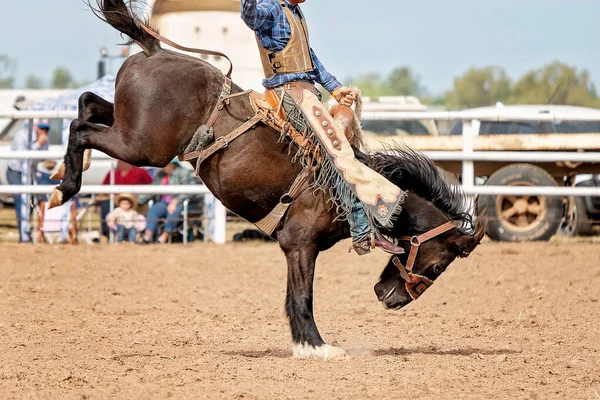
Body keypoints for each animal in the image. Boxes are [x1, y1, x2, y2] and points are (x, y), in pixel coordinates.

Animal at [49, 0, 486, 360]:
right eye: (438, 266)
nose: (387, 298)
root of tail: (155, 51)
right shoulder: (300, 244)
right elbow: (303, 297)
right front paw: (318, 347)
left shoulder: (296, 247)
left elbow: (293, 298)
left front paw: (305, 345)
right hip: (142, 145)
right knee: (80, 127)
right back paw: (62, 189)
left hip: (130, 126)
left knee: (87, 103)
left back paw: (58, 172)